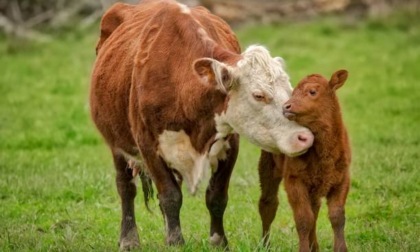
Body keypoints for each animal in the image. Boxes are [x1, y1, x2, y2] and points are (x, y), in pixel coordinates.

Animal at [90, 0, 314, 249]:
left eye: (290, 91)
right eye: (258, 95)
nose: (304, 137)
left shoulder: (230, 143)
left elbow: (216, 196)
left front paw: (218, 241)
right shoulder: (148, 145)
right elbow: (170, 196)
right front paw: (176, 242)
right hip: (117, 143)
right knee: (126, 187)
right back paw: (129, 239)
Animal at [260, 70, 352, 252]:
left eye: (312, 92)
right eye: (293, 93)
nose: (286, 106)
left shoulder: (342, 178)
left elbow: (337, 216)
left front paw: (340, 248)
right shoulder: (294, 180)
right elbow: (303, 219)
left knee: (314, 210)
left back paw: (314, 246)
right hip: (268, 167)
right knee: (268, 204)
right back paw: (265, 245)